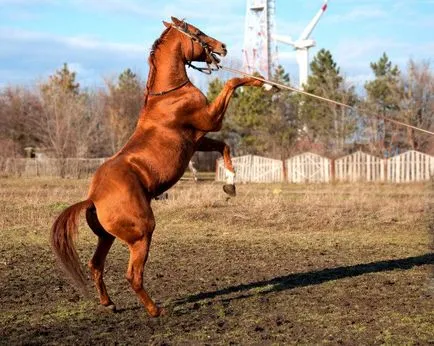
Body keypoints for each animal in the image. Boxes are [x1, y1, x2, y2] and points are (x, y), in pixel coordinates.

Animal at [50, 17, 264, 318]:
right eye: (196, 32)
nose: (222, 46)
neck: (169, 95)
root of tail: (92, 198)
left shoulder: (199, 140)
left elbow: (223, 147)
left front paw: (230, 185)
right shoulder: (210, 120)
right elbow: (233, 82)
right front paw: (262, 82)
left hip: (107, 238)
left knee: (96, 265)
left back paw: (109, 304)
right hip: (142, 234)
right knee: (133, 275)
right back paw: (155, 310)